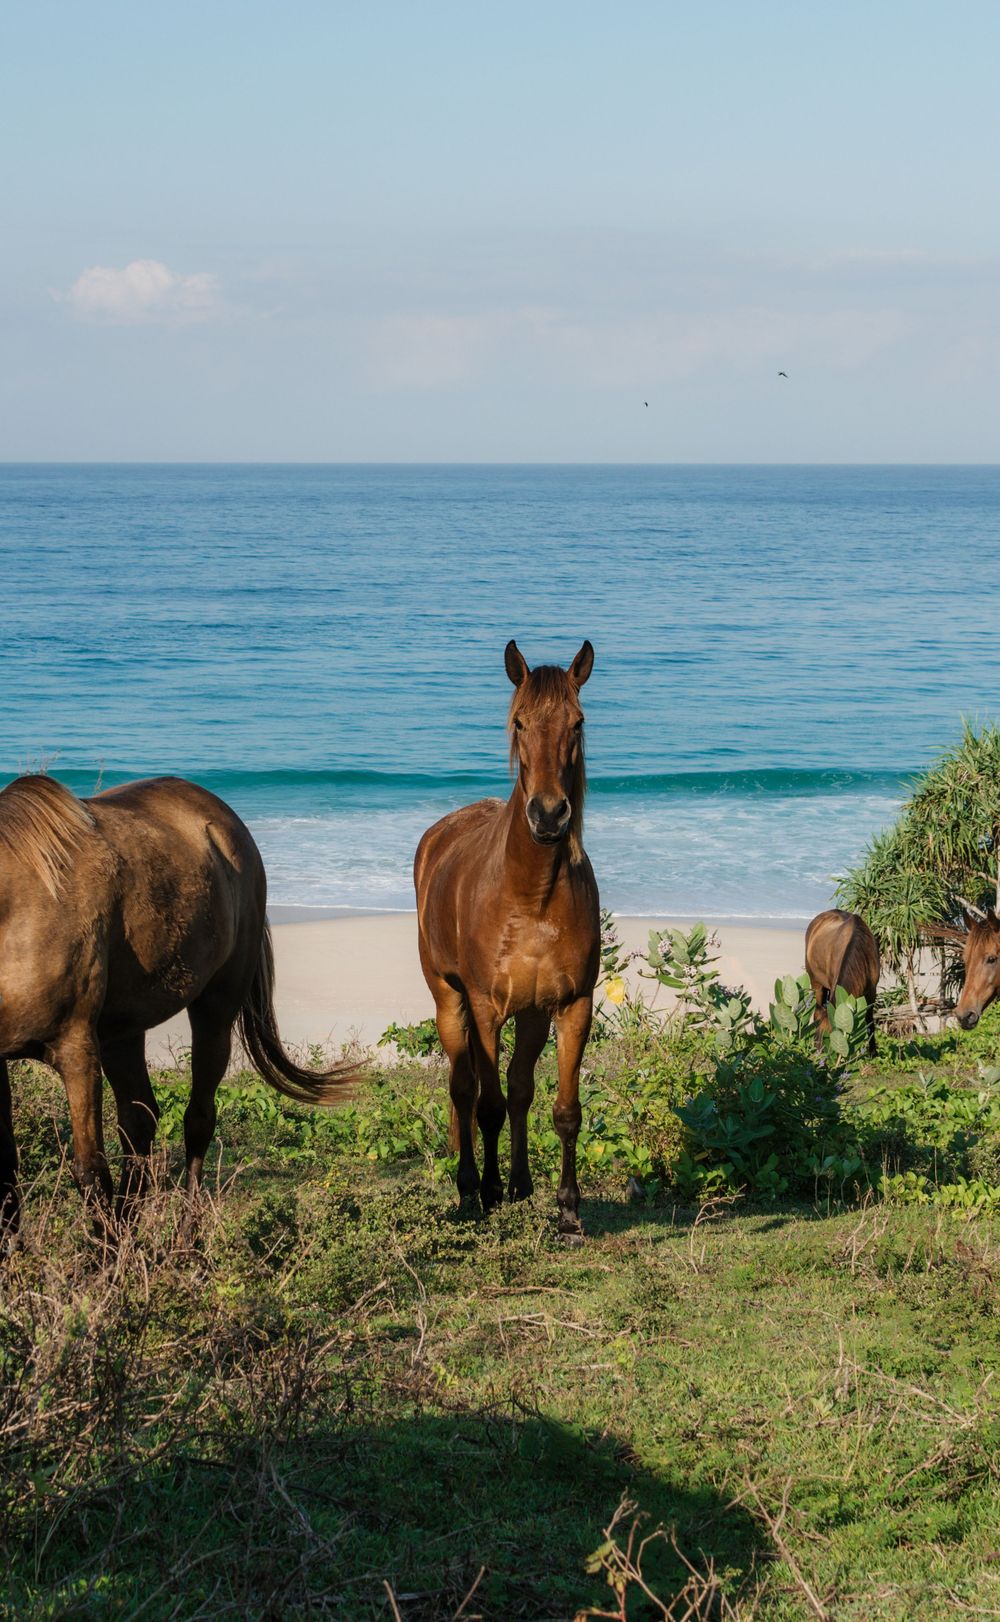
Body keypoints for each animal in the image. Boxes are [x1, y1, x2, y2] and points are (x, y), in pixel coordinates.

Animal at [0, 774, 358, 1233]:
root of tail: (226, 822)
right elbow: (7, 1175)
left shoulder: (76, 1050)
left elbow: (90, 1172)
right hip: (121, 1033)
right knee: (139, 1122)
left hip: (213, 1013)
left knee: (198, 1119)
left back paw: (187, 1239)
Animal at [414, 640, 600, 1241]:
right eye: (519, 723)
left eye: (577, 722)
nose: (549, 814)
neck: (531, 894)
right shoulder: (485, 1007)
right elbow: (486, 1103)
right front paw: (487, 1193)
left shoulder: (572, 1006)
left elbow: (563, 1110)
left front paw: (568, 1211)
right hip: (449, 999)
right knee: (465, 1090)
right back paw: (473, 1187)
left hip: (534, 1013)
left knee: (519, 1088)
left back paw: (519, 1184)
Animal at [804, 908, 880, 1055]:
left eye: (830, 1040)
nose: (818, 1055)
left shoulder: (871, 992)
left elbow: (869, 1021)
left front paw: (873, 1053)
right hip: (817, 983)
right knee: (818, 1012)